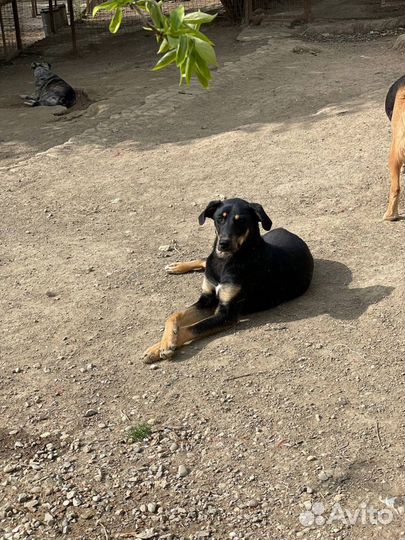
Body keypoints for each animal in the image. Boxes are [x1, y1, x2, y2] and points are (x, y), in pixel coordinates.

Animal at [142, 198, 312, 362]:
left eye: (241, 220)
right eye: (220, 218)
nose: (223, 243)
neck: (226, 261)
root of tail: (288, 231)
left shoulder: (226, 313)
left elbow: (193, 327)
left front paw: (162, 347)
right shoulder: (206, 299)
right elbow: (174, 315)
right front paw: (162, 344)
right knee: (205, 260)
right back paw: (176, 266)